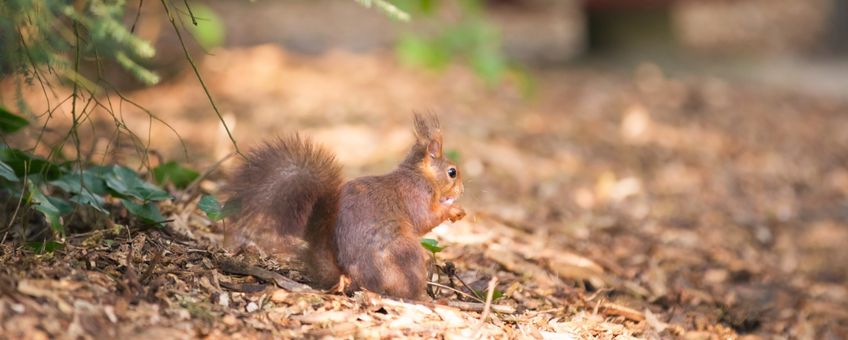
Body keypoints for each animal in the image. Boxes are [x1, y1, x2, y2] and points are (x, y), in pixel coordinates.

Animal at [225, 115, 464, 300]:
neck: (419, 174)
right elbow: (426, 219)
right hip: (405, 257)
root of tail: (351, 278)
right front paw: (453, 210)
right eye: (452, 172)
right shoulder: (416, 194)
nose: (461, 191)